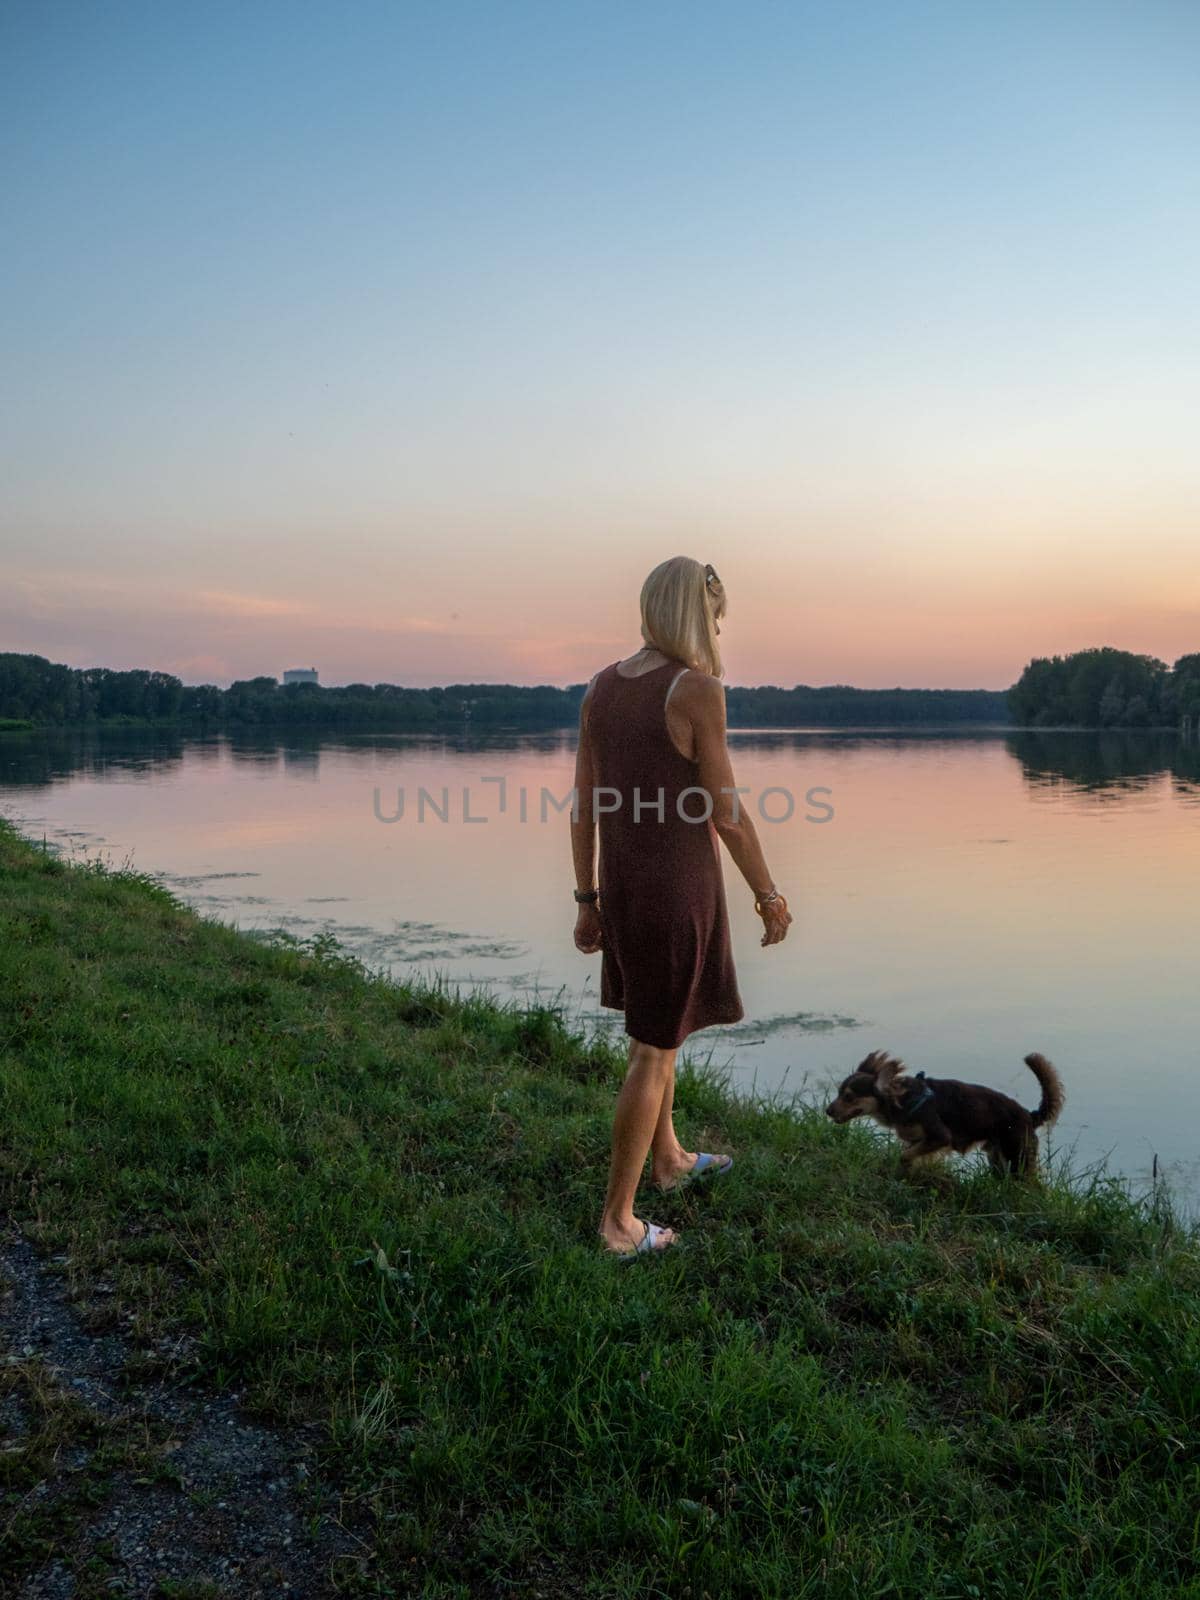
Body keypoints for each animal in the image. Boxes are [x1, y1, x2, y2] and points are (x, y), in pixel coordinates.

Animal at [832, 1049, 1068, 1177]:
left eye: (849, 1097)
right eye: (838, 1093)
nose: (827, 1110)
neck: (902, 1100)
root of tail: (1030, 1116)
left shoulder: (939, 1136)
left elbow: (904, 1155)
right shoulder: (918, 1141)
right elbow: (909, 1154)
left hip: (1017, 1157)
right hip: (997, 1158)